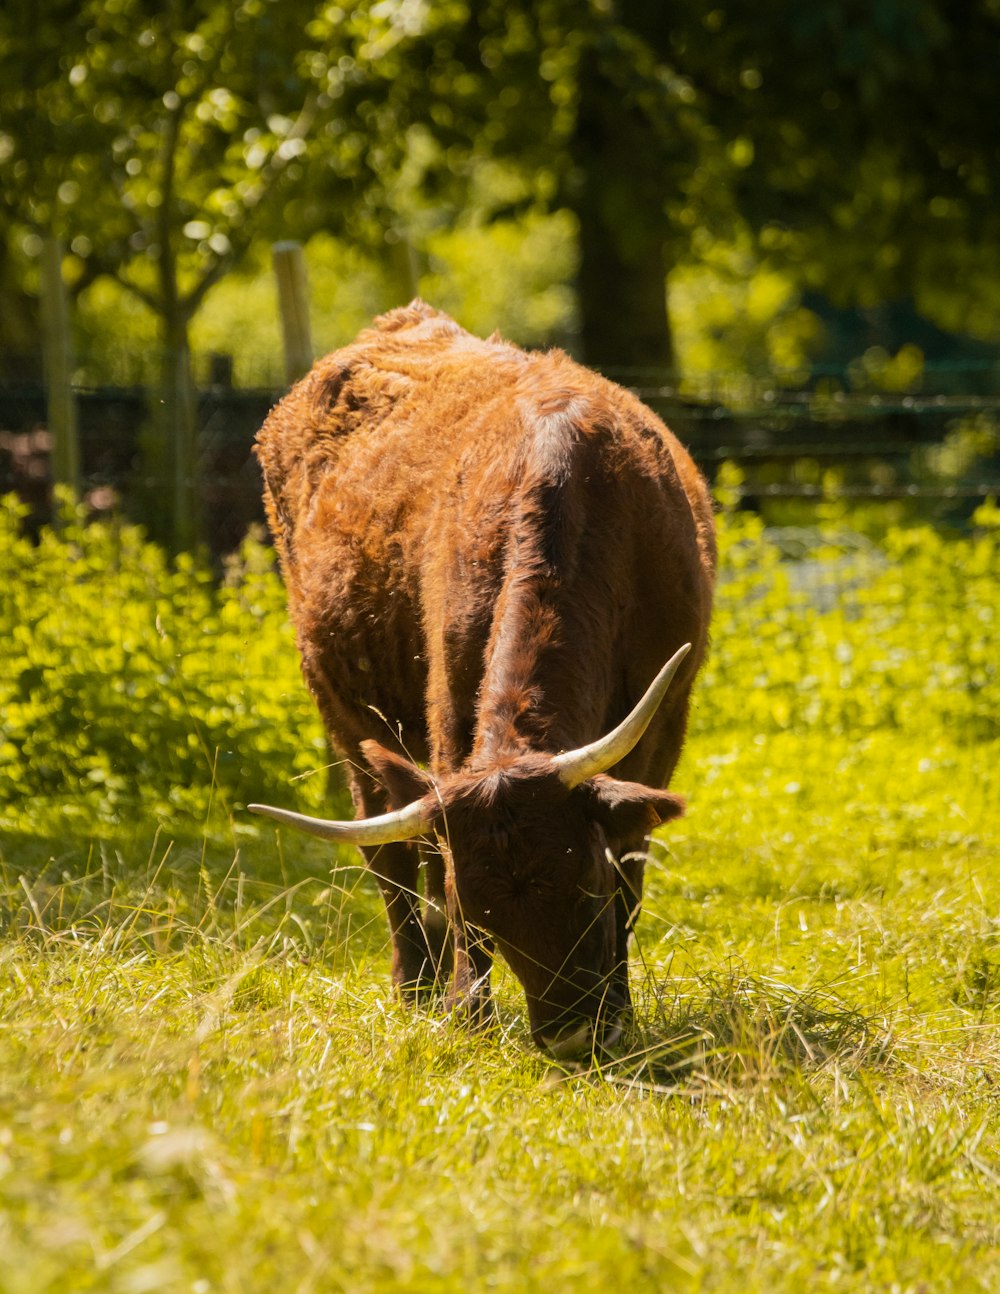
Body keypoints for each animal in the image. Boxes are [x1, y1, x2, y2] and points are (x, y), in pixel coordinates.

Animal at [253, 302, 714, 1061]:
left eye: (584, 882)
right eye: (479, 908)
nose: (569, 1036)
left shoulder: (665, 718)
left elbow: (633, 864)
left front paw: (621, 1011)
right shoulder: (446, 706)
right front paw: (467, 1009)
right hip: (344, 717)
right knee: (389, 854)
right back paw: (415, 987)